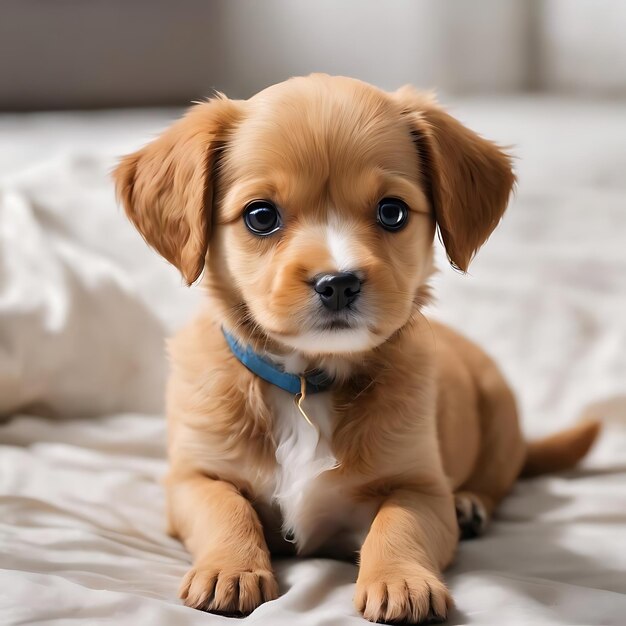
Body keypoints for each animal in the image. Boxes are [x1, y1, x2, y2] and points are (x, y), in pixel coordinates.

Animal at [114, 75, 596, 620]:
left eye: (392, 212)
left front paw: (402, 580)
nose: (339, 283)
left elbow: (399, 523)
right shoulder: (192, 477)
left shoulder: (420, 485)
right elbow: (226, 508)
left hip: (499, 415)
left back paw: (470, 503)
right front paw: (230, 569)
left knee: (495, 481)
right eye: (260, 216)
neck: (307, 384)